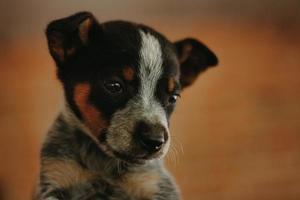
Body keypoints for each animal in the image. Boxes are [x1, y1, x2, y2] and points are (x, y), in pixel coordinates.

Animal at [35, 11, 218, 199]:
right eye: (114, 86)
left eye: (173, 97)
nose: (154, 140)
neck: (103, 163)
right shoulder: (56, 176)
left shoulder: (156, 185)